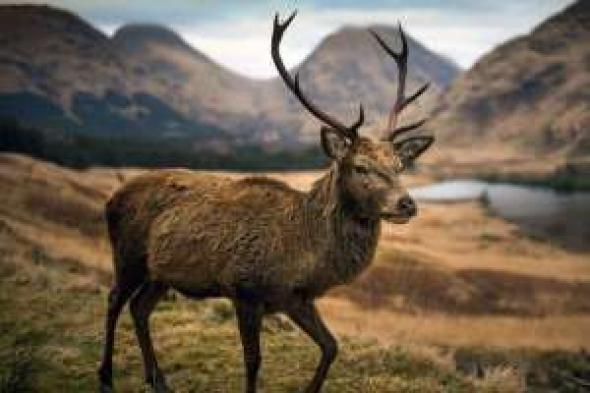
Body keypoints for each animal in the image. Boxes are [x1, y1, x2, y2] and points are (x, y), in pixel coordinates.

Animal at [98, 11, 434, 392]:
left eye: (399, 165)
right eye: (360, 166)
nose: (407, 204)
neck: (302, 252)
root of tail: (112, 198)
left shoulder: (295, 297)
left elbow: (331, 346)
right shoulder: (244, 289)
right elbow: (253, 360)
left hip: (161, 273)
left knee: (139, 308)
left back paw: (158, 380)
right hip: (128, 255)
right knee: (114, 299)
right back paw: (106, 375)